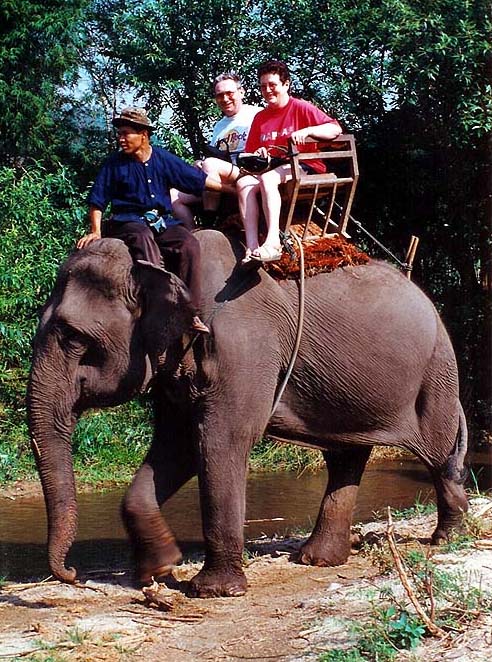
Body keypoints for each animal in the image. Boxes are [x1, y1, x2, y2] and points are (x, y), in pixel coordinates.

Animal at [27, 231, 468, 600]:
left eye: (73, 337)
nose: (72, 575)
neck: (160, 263)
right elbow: (177, 445)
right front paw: (162, 567)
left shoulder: (244, 345)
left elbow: (220, 440)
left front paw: (213, 591)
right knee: (345, 456)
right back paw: (317, 560)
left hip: (437, 371)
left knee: (437, 453)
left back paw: (446, 538)